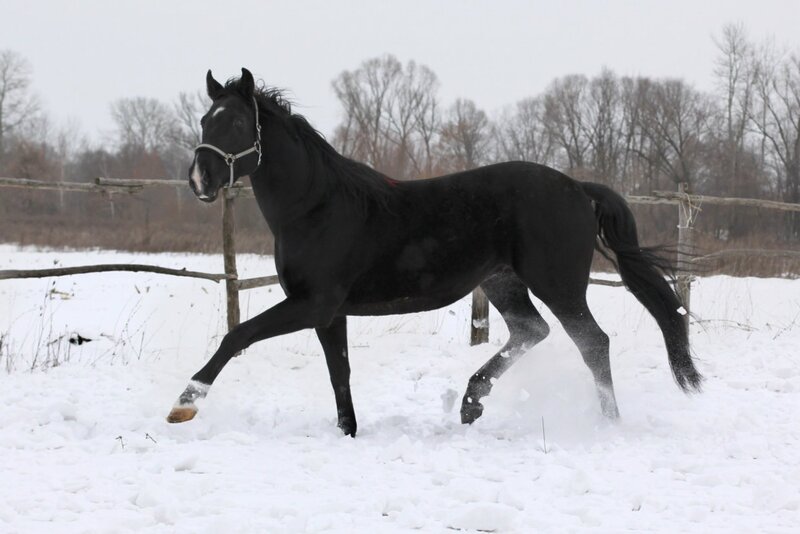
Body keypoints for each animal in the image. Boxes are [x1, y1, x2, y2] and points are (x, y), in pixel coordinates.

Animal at [167, 68, 702, 435]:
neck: (316, 207)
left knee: (592, 342)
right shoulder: (329, 313)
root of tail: (578, 188)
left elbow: (236, 336)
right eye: (205, 120)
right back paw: (472, 401)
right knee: (532, 331)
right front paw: (348, 431)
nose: (198, 180)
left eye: (237, 122)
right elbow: (339, 372)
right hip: (503, 281)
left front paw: (185, 403)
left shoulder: (312, 303)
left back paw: (606, 423)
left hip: (557, 284)